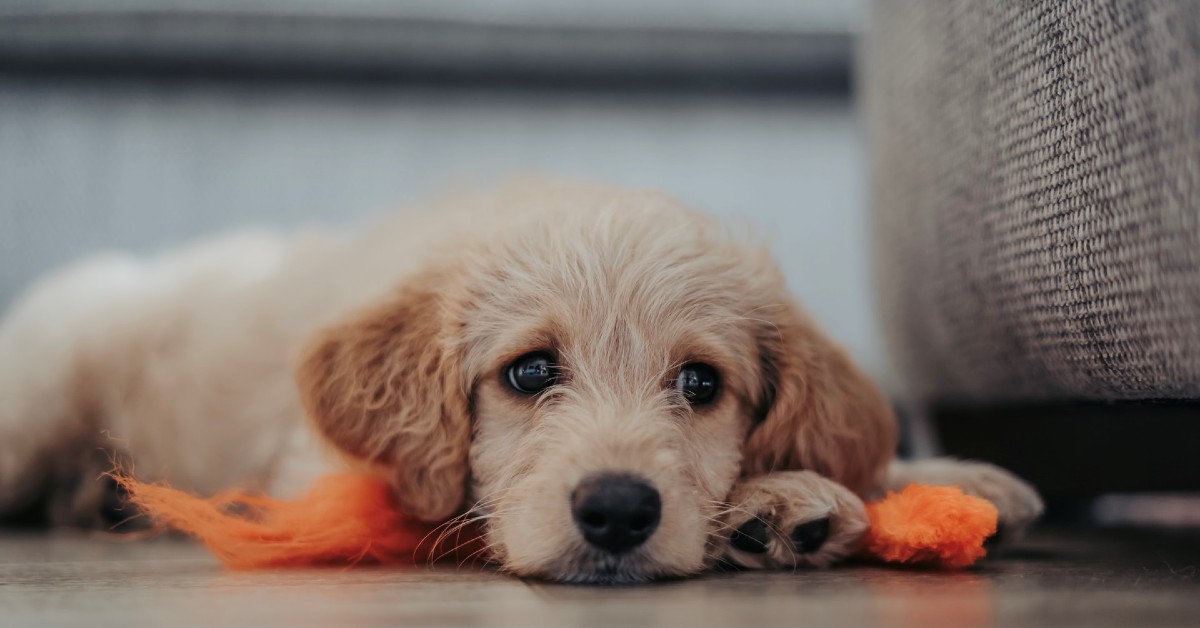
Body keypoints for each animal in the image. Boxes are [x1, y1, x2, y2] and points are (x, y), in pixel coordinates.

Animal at [0, 178, 1041, 583]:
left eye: (701, 385)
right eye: (530, 371)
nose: (618, 511)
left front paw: (942, 480)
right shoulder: (336, 477)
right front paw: (784, 499)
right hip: (40, 389)